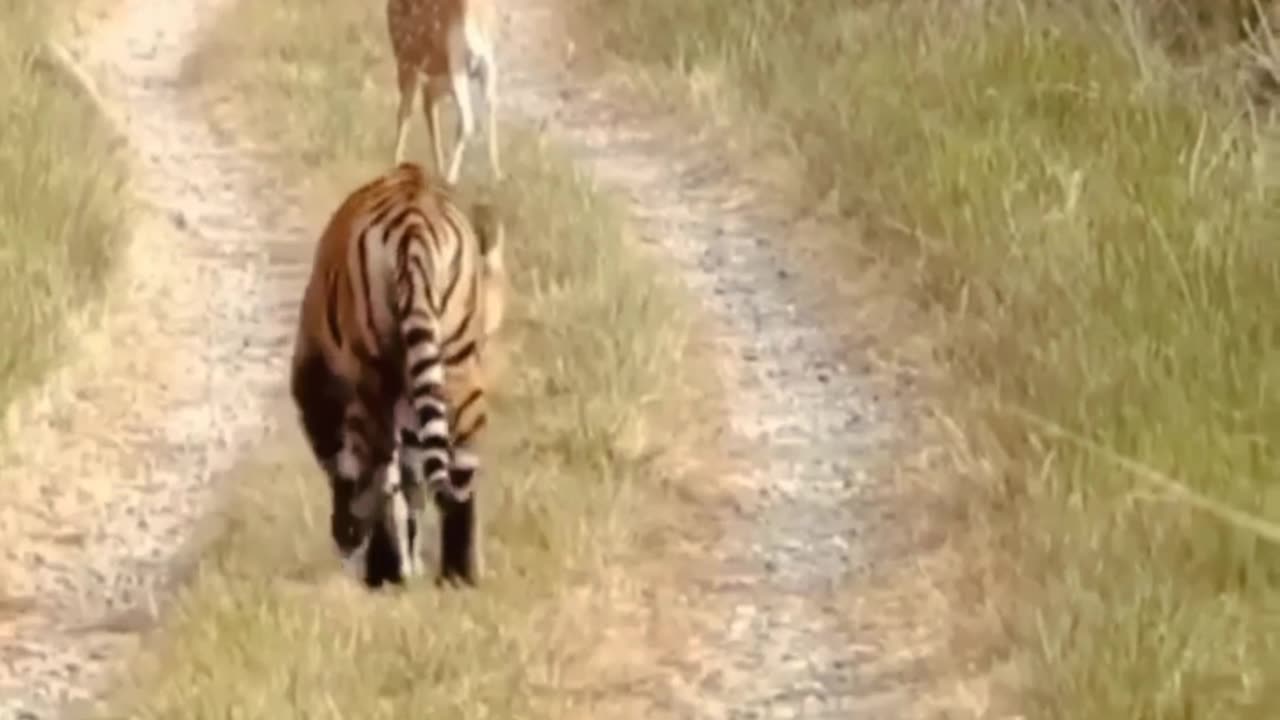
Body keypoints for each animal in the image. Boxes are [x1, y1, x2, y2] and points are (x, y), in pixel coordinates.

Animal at [290, 159, 504, 586]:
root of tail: (414, 228)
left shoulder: (317, 379)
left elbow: (349, 468)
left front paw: (353, 534)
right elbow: (411, 475)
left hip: (372, 379)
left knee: (375, 469)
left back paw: (383, 570)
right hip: (458, 370)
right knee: (458, 477)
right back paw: (457, 575)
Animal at [384, 0, 499, 183]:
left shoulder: (409, 58)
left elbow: (405, 112)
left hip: (450, 66)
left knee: (464, 120)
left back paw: (449, 177)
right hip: (477, 69)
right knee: (485, 110)